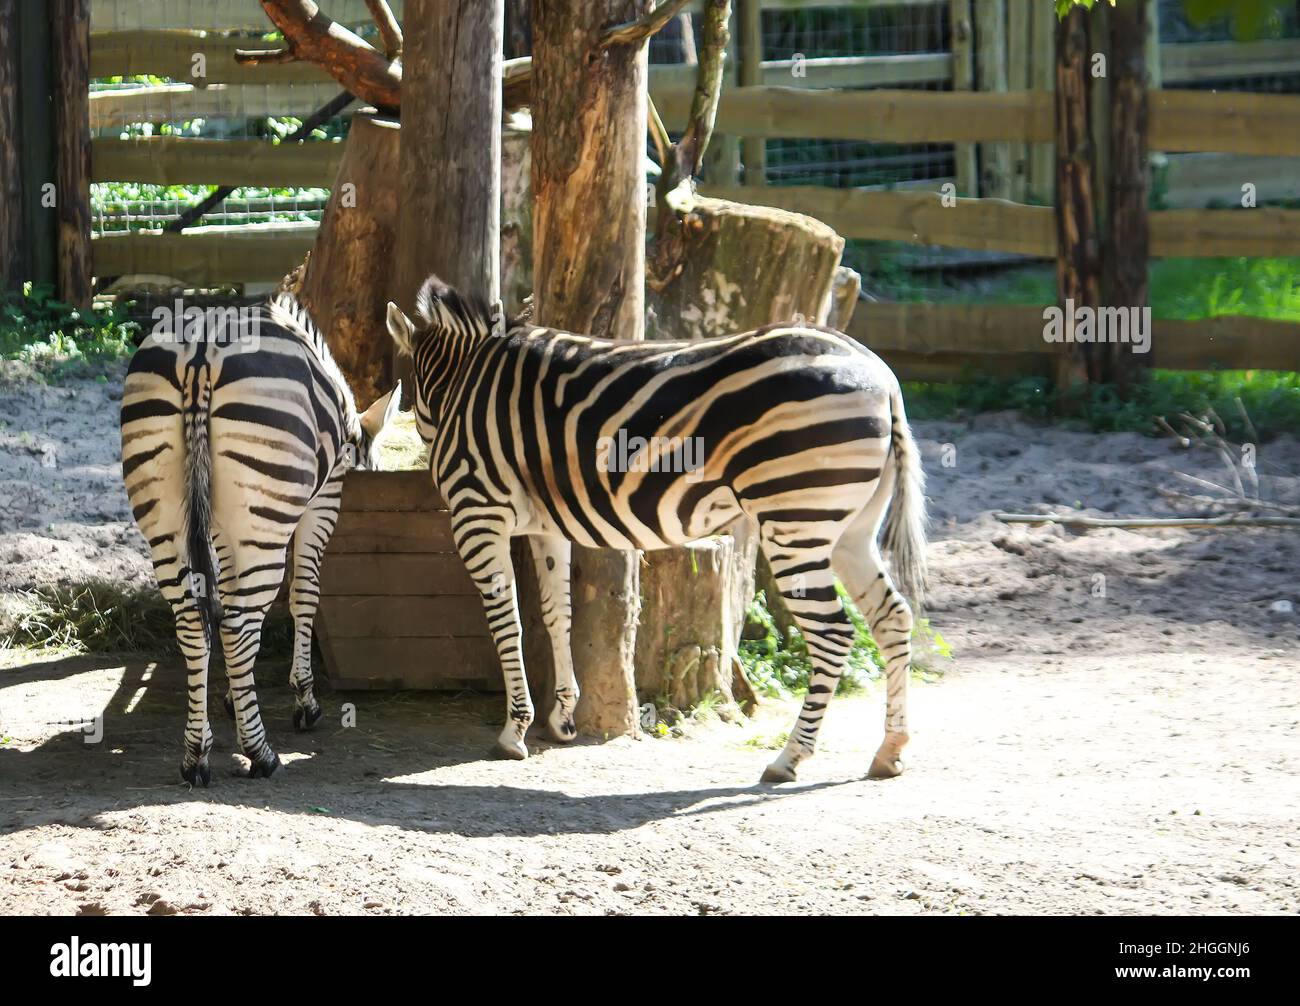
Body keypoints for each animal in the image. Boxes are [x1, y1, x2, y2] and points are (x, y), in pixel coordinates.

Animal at [122, 291, 397, 790]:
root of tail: (201, 351)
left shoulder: (222, 527)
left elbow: (230, 592)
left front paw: (235, 696)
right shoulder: (322, 500)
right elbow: (305, 593)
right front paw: (304, 700)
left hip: (166, 521)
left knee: (195, 623)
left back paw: (197, 756)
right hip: (264, 519)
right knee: (237, 624)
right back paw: (261, 753)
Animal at [384, 278, 925, 790]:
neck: (462, 382)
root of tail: (881, 374)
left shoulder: (478, 512)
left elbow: (506, 620)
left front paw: (515, 730)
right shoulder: (546, 525)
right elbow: (557, 615)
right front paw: (563, 719)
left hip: (795, 517)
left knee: (833, 634)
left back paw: (789, 759)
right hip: (849, 528)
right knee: (892, 617)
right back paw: (891, 750)